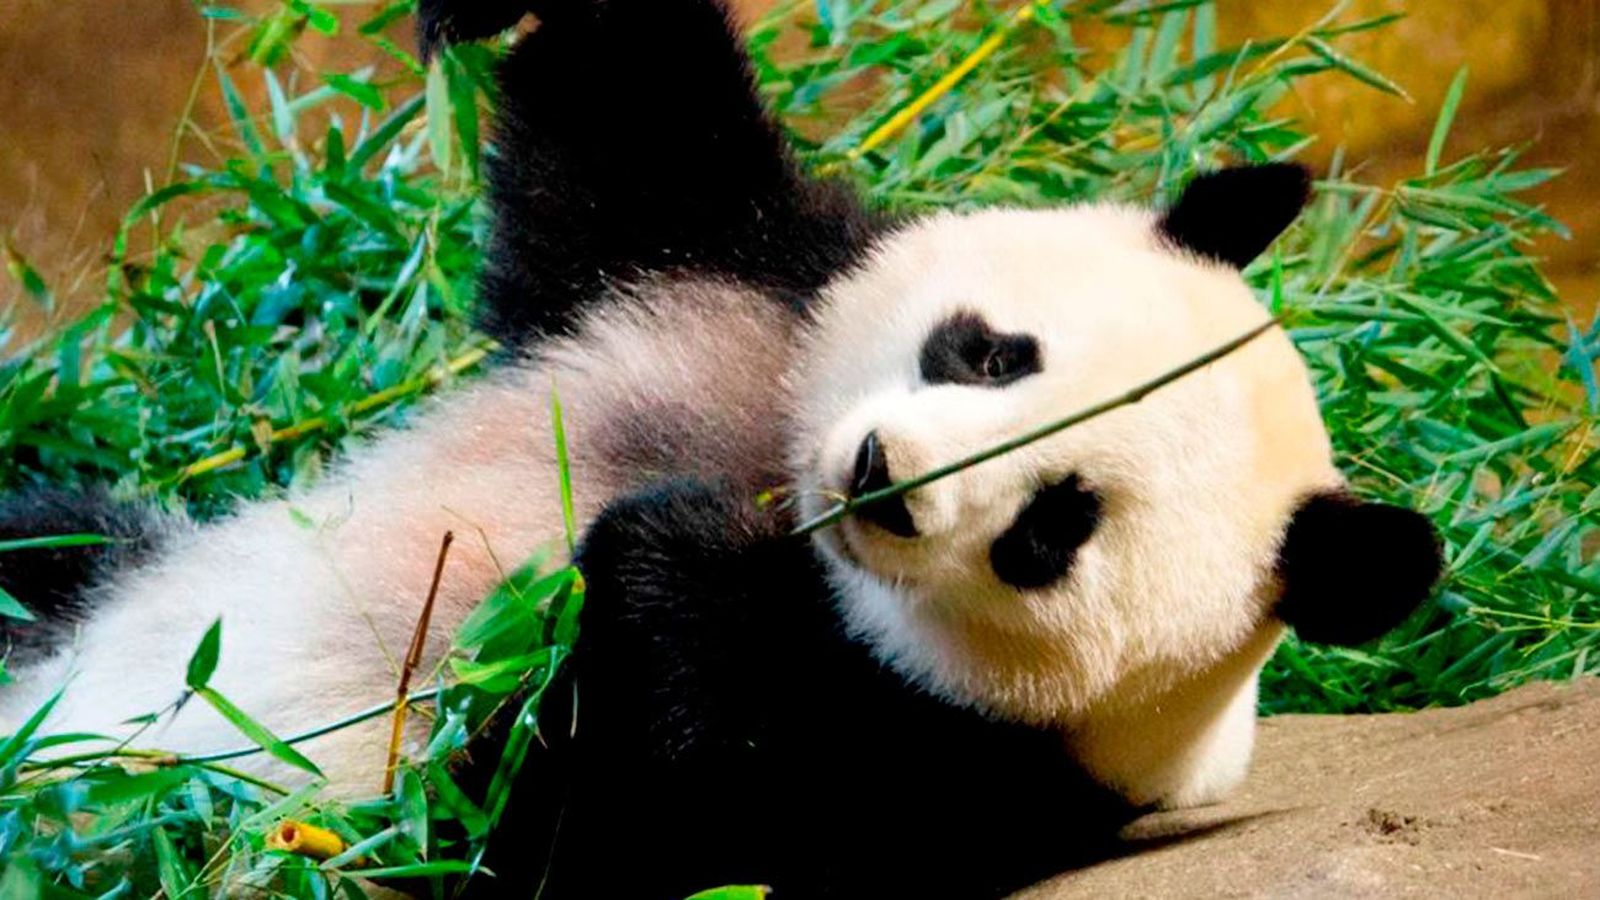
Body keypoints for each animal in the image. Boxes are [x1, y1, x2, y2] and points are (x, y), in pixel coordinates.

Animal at [0, 0, 1446, 897]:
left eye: (1053, 526)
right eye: (987, 353)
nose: (879, 478)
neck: (798, 531)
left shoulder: (950, 774)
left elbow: (565, 839)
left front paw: (654, 568)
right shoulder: (744, 288)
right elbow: (638, 142)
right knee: (48, 537)